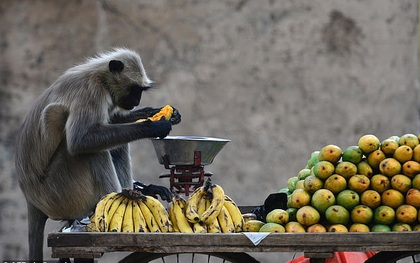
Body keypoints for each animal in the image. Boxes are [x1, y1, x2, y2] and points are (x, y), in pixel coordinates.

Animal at [12, 48, 180, 262]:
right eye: (135, 90)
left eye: (141, 91)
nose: (137, 101)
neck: (100, 76)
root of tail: (32, 199)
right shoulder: (91, 93)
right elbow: (81, 140)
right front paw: (153, 125)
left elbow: (109, 122)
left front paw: (153, 113)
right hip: (58, 192)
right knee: (87, 149)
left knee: (115, 145)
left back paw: (131, 193)